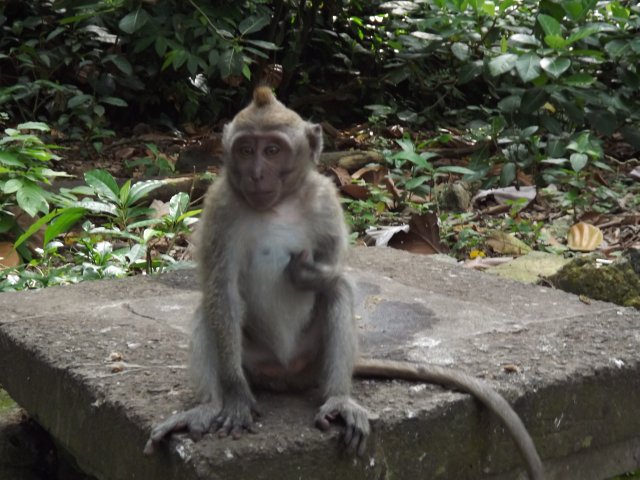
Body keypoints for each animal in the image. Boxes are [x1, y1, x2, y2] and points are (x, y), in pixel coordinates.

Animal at [144, 87, 544, 480]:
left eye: (272, 150)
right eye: (245, 150)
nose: (256, 174)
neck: (278, 204)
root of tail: (286, 375)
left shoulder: (325, 199)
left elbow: (335, 269)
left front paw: (309, 274)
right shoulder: (220, 207)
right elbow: (222, 289)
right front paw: (236, 397)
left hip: (311, 357)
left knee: (335, 294)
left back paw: (338, 400)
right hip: (253, 359)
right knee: (208, 309)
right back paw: (208, 407)